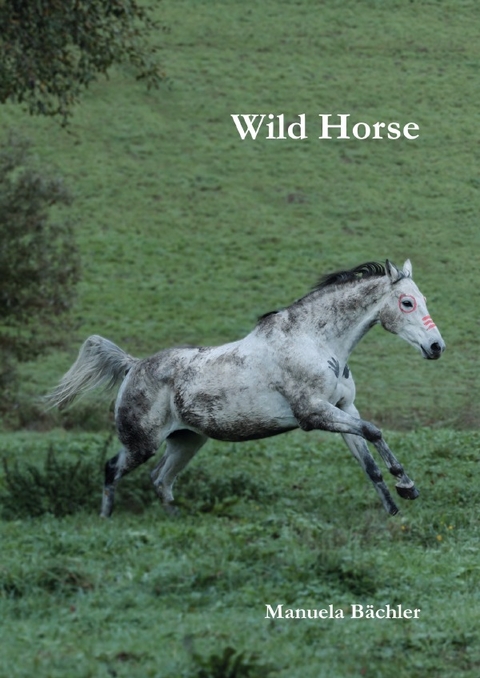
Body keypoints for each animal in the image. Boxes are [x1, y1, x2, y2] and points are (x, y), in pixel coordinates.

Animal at [46, 259, 445, 518]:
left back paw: (175, 521)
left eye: (424, 300)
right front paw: (407, 486)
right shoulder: (314, 414)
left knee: (161, 480)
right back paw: (106, 521)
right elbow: (374, 432)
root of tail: (133, 365)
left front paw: (396, 508)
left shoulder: (344, 409)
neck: (315, 342)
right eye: (406, 302)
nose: (436, 347)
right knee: (112, 469)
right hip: (141, 443)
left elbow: (369, 462)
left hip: (186, 441)